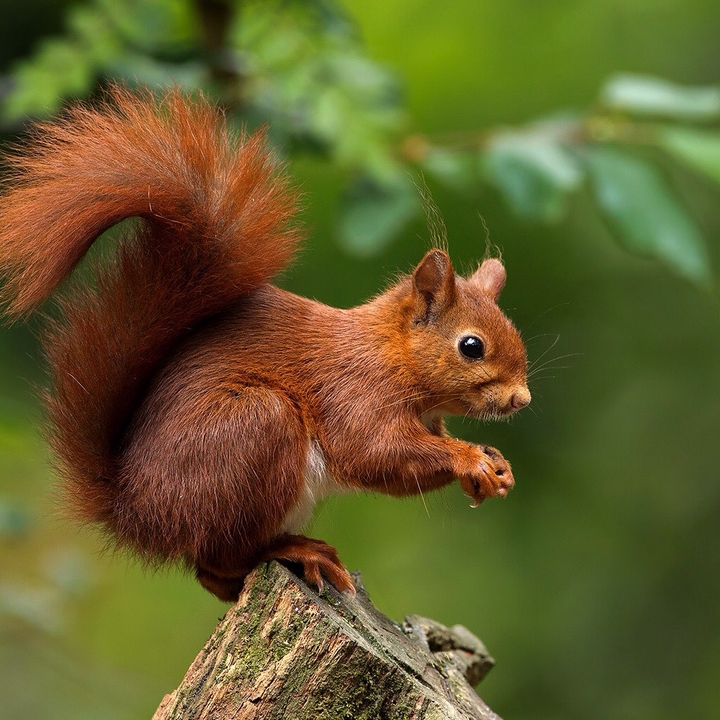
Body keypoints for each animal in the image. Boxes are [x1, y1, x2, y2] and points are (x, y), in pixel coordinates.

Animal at [0, 87, 530, 602]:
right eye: (471, 346)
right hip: (255, 429)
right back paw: (297, 550)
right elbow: (374, 453)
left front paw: (496, 466)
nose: (521, 400)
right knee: (219, 559)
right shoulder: (355, 392)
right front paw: (470, 458)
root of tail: (136, 513)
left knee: (212, 577)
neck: (390, 353)